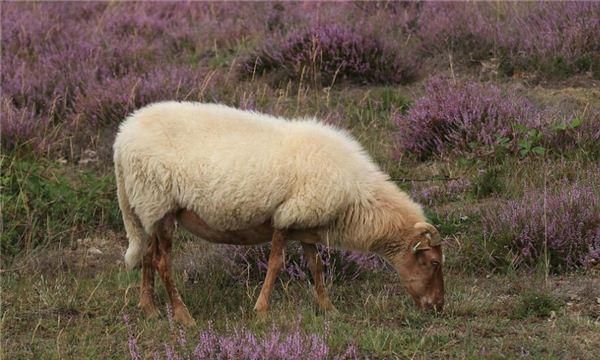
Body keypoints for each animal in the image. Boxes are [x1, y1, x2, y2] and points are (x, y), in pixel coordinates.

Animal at [113, 102, 446, 326]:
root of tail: (122, 137)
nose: (439, 307)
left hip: (149, 209)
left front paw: (328, 308)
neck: (357, 198)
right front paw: (260, 310)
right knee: (161, 262)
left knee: (147, 256)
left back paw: (149, 309)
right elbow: (276, 264)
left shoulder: (307, 222)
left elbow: (316, 267)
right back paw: (183, 316)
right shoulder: (286, 217)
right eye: (432, 262)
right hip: (159, 203)